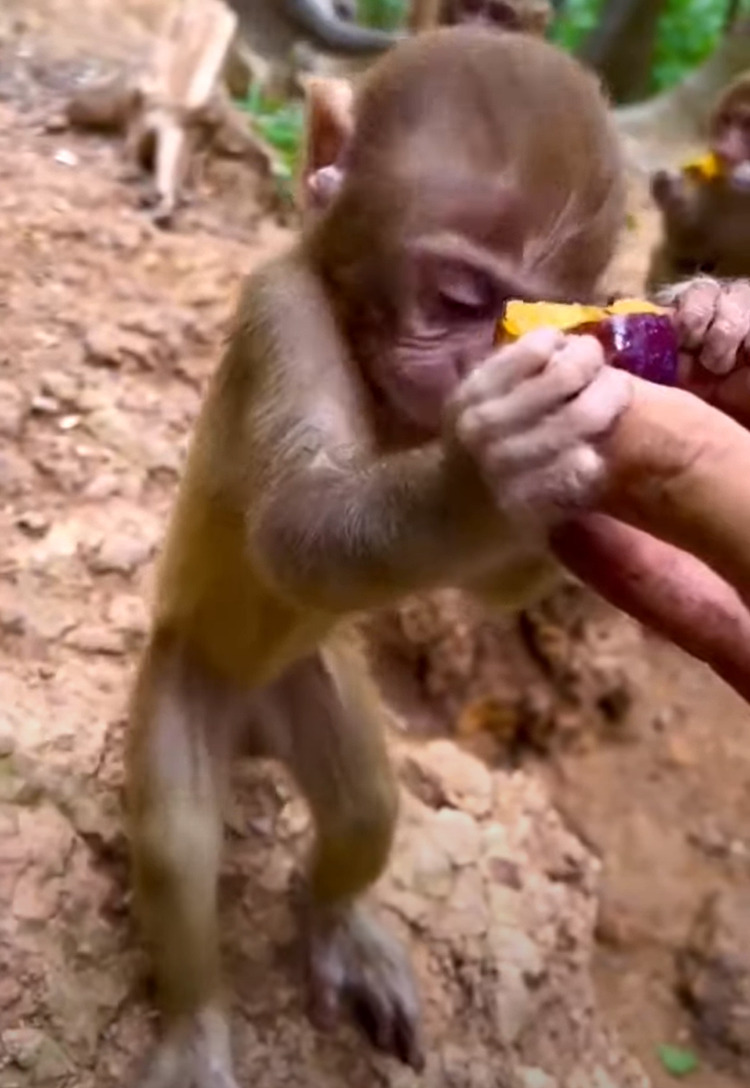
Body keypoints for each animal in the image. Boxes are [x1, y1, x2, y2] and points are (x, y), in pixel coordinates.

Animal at [127, 27, 626, 1088]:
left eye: (532, 309)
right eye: (460, 296)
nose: (473, 365)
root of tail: (249, 719)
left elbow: (493, 581)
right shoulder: (281, 314)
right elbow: (298, 523)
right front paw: (487, 466)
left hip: (311, 688)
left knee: (363, 811)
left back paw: (334, 922)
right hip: (185, 681)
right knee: (178, 849)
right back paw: (195, 1024)